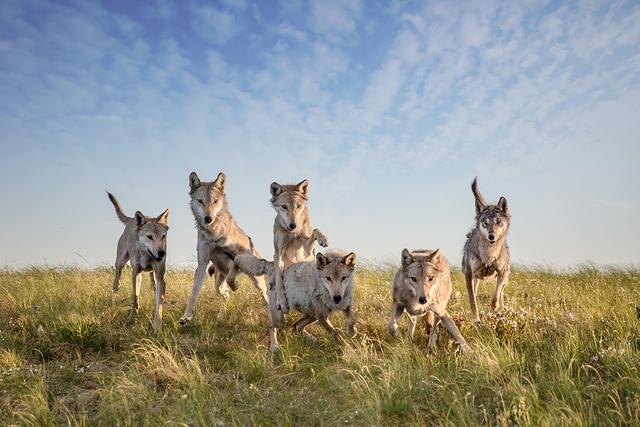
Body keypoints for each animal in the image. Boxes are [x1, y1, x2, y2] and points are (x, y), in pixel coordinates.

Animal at [106, 192, 169, 332]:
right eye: (150, 237)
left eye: (163, 236)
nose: (162, 253)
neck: (146, 255)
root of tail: (131, 219)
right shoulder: (136, 272)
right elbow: (135, 296)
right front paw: (132, 317)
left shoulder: (160, 277)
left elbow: (159, 304)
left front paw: (157, 325)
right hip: (121, 261)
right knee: (117, 278)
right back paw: (114, 293)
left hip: (152, 273)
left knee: (153, 282)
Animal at [180, 172, 268, 326]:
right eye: (200, 201)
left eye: (215, 201)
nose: (208, 218)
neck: (214, 233)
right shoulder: (202, 264)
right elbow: (193, 293)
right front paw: (186, 316)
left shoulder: (240, 253)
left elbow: (234, 267)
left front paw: (235, 285)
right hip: (217, 286)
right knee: (226, 296)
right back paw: (220, 317)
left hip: (258, 283)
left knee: (266, 297)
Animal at [462, 178, 512, 324]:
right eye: (485, 222)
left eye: (498, 221)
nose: (491, 236)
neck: (488, 254)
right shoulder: (469, 274)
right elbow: (473, 301)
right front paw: (476, 321)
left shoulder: (501, 273)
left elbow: (495, 298)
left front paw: (494, 311)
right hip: (475, 279)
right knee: (475, 293)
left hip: (505, 280)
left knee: (501, 294)